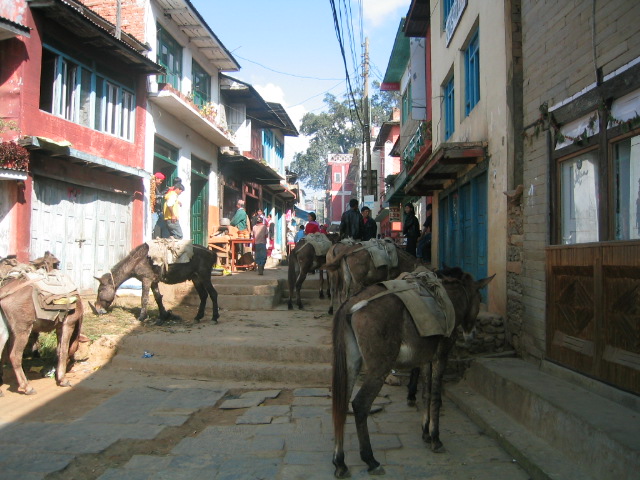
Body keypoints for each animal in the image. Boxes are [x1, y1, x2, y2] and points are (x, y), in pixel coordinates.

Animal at [0, 253, 84, 395]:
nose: (71, 365)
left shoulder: (59, 326)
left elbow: (59, 350)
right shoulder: (68, 323)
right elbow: (63, 350)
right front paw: (62, 379)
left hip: (4, 330)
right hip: (22, 329)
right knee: (15, 355)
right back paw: (27, 387)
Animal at [331, 268, 494, 478]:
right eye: (479, 298)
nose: (472, 334)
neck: (448, 299)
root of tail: (351, 305)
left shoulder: (424, 358)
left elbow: (426, 394)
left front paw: (425, 432)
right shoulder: (441, 355)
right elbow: (436, 396)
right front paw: (435, 439)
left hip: (351, 364)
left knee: (341, 404)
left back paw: (340, 463)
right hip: (379, 368)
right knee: (360, 405)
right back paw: (371, 460)